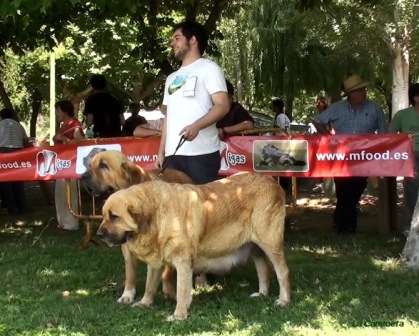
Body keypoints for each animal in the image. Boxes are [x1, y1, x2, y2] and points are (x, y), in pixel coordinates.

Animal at [81, 151, 194, 300]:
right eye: (90, 165)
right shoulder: (126, 245)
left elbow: (166, 269)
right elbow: (130, 273)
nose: (82, 176)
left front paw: (169, 291)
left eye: (103, 165)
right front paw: (127, 294)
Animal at [97, 172, 292, 322]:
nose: (99, 234)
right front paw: (144, 303)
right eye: (104, 216)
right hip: (255, 248)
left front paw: (178, 316)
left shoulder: (183, 262)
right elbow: (149, 285)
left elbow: (182, 291)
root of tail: (273, 182)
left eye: (114, 217)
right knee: (264, 269)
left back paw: (283, 301)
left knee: (282, 271)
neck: (157, 215)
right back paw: (262, 294)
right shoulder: (156, 263)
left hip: (269, 243)